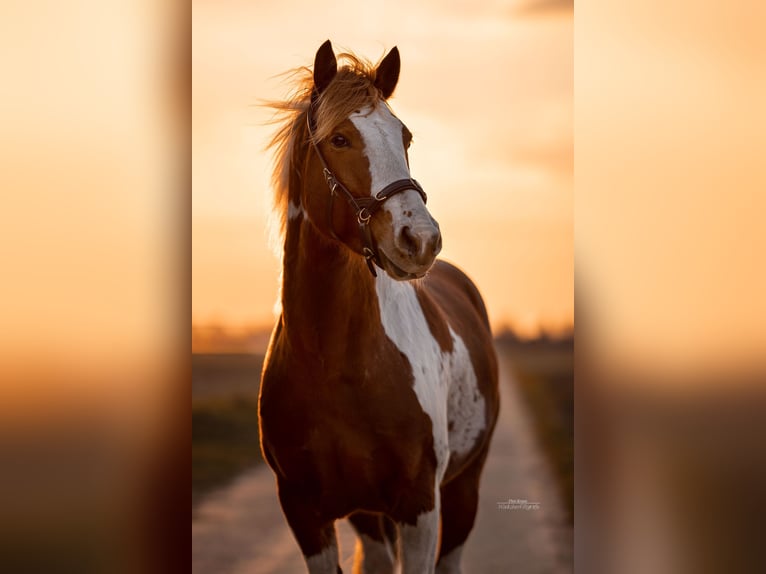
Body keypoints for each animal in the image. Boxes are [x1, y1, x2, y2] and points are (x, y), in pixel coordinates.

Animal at [258, 41, 500, 574]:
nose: (421, 239)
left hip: (464, 491)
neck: (335, 363)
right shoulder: (304, 512)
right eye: (340, 138)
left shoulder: (420, 507)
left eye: (405, 136)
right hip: (366, 516)